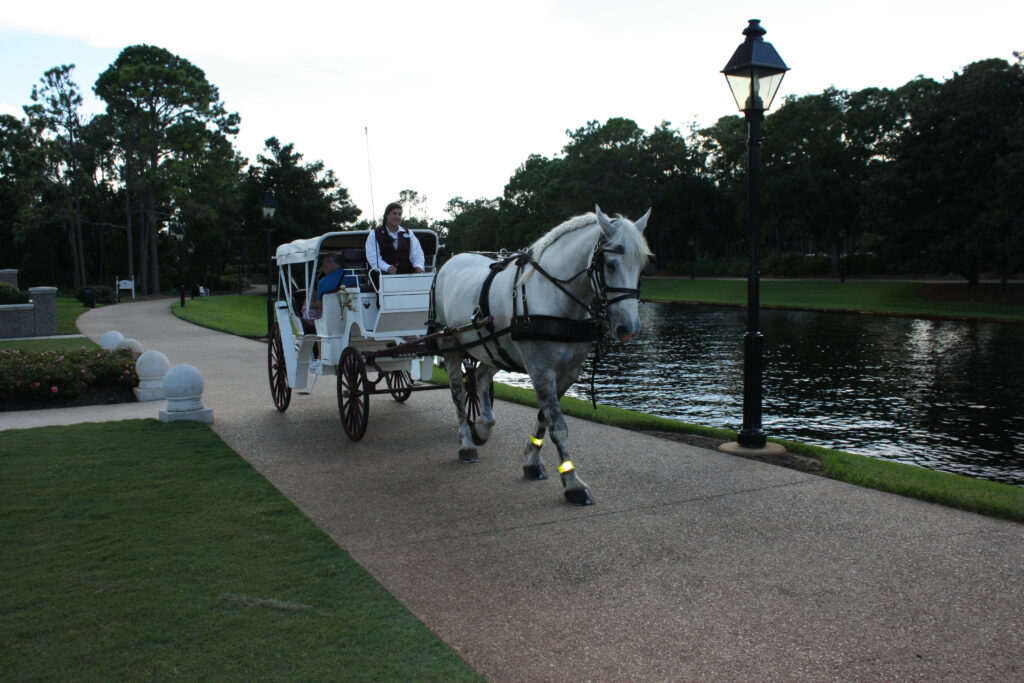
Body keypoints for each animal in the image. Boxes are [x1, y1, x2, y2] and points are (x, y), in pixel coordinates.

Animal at [430, 205, 651, 505]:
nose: (629, 328)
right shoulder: (541, 369)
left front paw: (532, 461)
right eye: (611, 264)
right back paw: (466, 443)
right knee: (457, 392)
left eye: (642, 265)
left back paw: (484, 425)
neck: (557, 298)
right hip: (450, 345)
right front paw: (572, 482)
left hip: (494, 348)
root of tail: (451, 260)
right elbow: (558, 425)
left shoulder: (567, 372)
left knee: (481, 376)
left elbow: (544, 418)